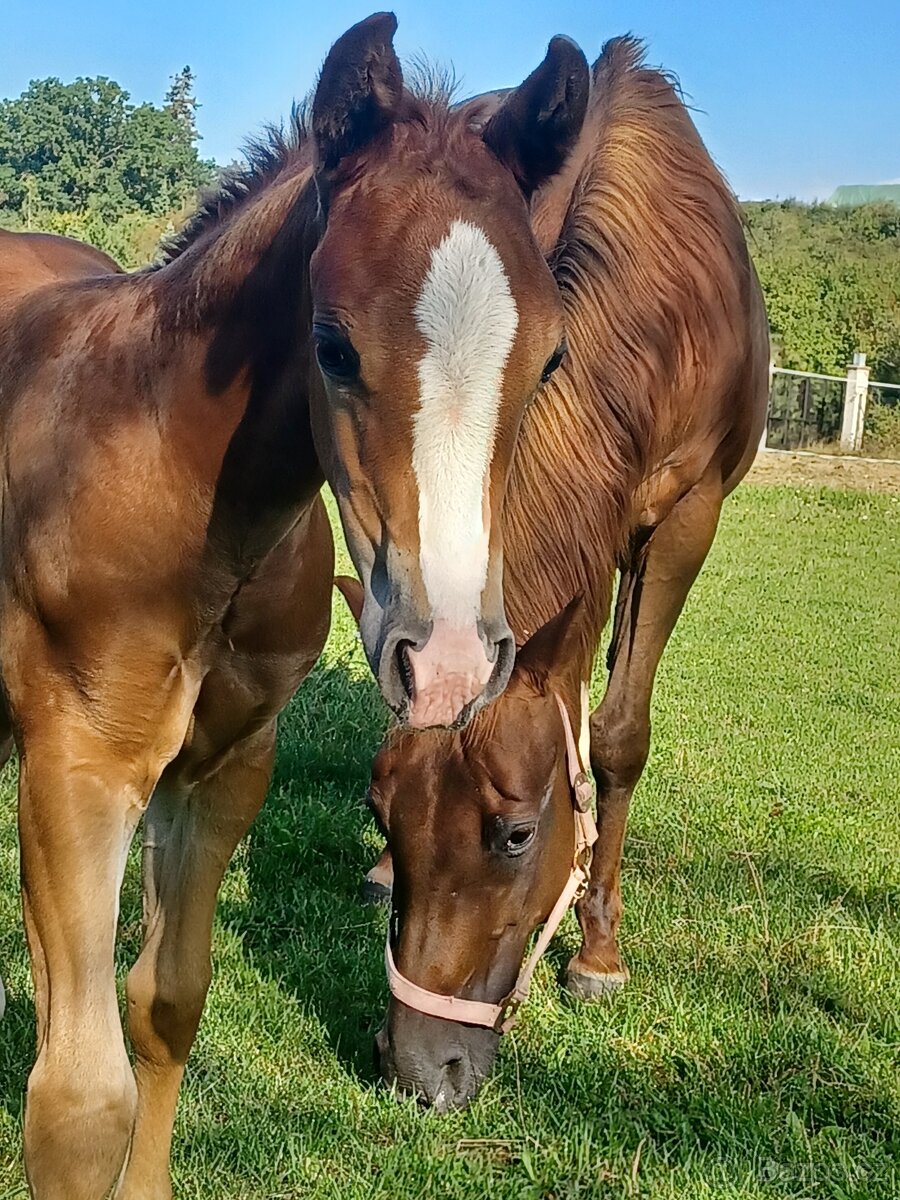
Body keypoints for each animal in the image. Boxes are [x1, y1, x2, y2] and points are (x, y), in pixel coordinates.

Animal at [0, 14, 593, 1197]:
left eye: (548, 359)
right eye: (332, 344)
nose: (448, 665)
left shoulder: (225, 768)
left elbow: (165, 1004)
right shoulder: (76, 769)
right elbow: (77, 1104)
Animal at [342, 34, 770, 1111]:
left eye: (515, 835)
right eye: (381, 809)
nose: (421, 1069)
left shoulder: (686, 520)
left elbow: (616, 735)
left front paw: (600, 949)